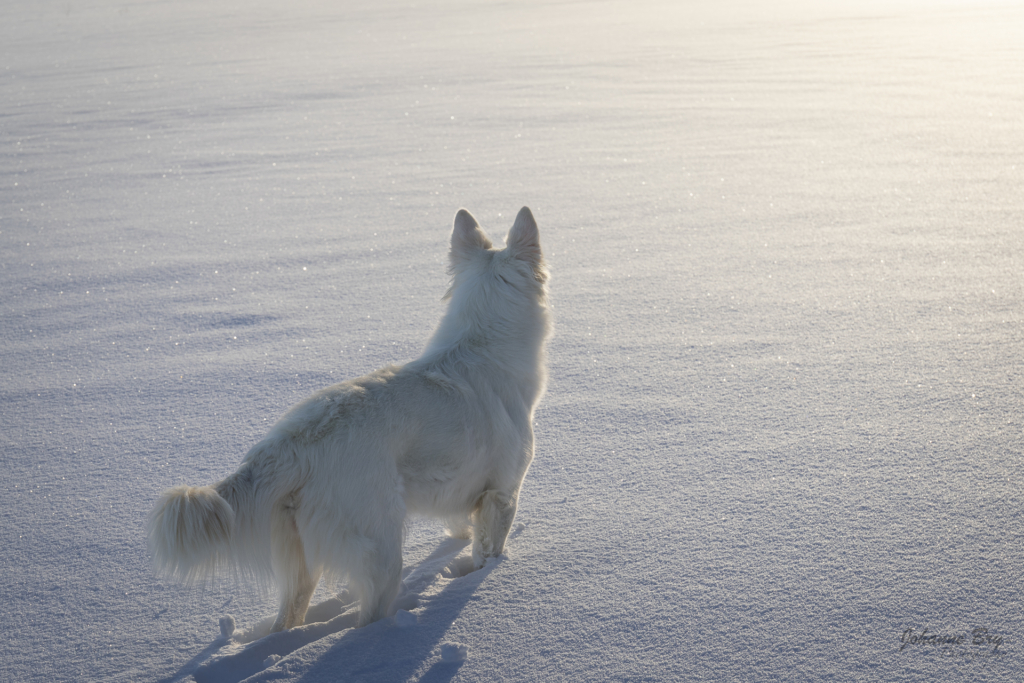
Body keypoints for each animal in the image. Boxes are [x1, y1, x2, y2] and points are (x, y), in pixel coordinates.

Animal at [147, 207, 550, 632]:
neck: (481, 346)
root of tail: (290, 445)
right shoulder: (502, 495)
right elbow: (488, 550)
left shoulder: (461, 496)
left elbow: (459, 527)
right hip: (382, 549)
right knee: (368, 616)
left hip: (301, 563)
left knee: (288, 617)